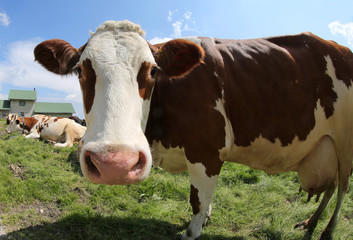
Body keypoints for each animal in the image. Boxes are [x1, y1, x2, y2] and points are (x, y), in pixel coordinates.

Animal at [34, 19, 352, 239]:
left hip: (346, 142)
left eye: (151, 70)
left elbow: (198, 199)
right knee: (331, 186)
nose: (115, 165)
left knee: (342, 188)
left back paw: (326, 230)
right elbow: (206, 196)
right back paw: (310, 223)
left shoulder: (207, 149)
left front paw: (193, 230)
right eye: (80, 70)